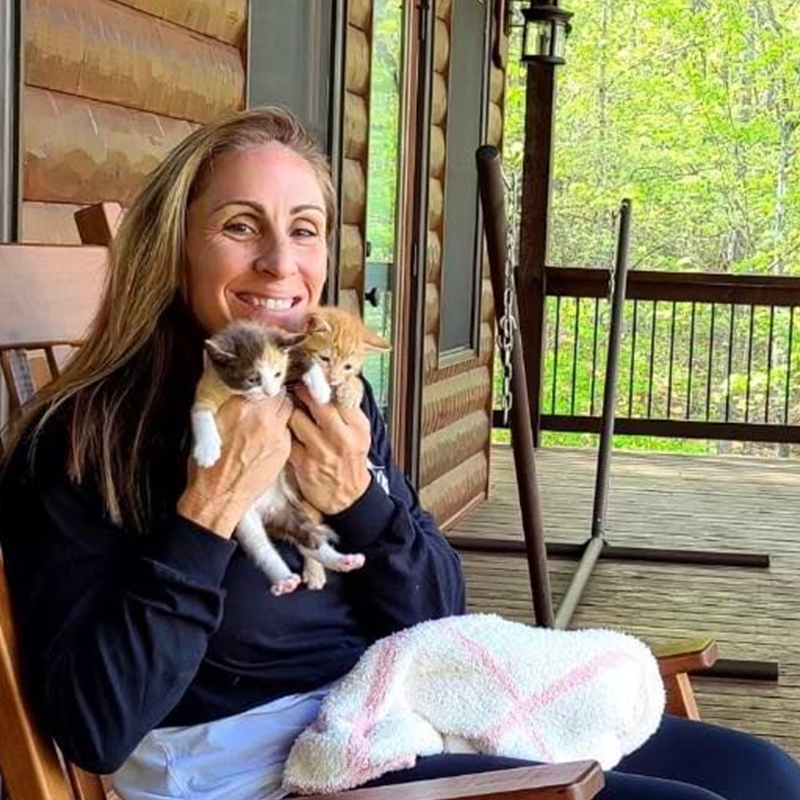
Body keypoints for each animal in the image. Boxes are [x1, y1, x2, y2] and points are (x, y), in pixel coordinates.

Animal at [192, 322, 368, 596]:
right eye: (253, 379)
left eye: (276, 374)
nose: (270, 393)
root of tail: (269, 510)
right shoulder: (208, 385)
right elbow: (200, 414)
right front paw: (207, 451)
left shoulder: (289, 357)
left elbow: (306, 360)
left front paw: (320, 391)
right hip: (244, 520)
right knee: (261, 547)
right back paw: (285, 580)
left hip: (292, 507)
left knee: (310, 541)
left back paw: (341, 561)